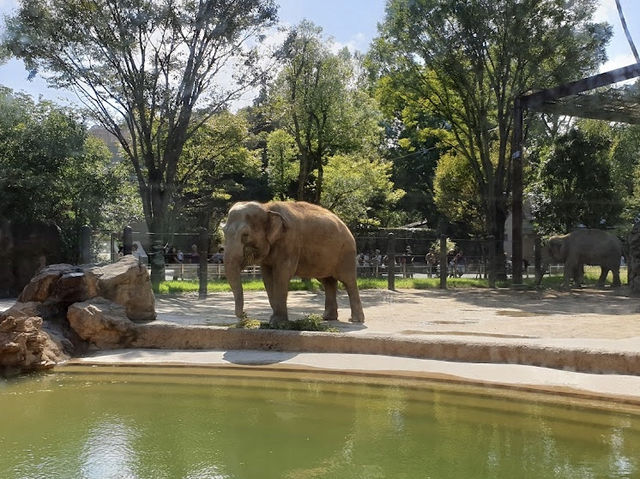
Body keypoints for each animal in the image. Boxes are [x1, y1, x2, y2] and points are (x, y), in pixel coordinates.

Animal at [221, 201, 362, 328]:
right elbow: (268, 278)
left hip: (346, 253)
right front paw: (273, 321)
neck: (266, 207)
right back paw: (328, 318)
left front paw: (278, 323)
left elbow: (281, 275)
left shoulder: (290, 243)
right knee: (328, 282)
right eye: (224, 232)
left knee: (348, 281)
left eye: (245, 235)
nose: (245, 315)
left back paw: (355, 320)